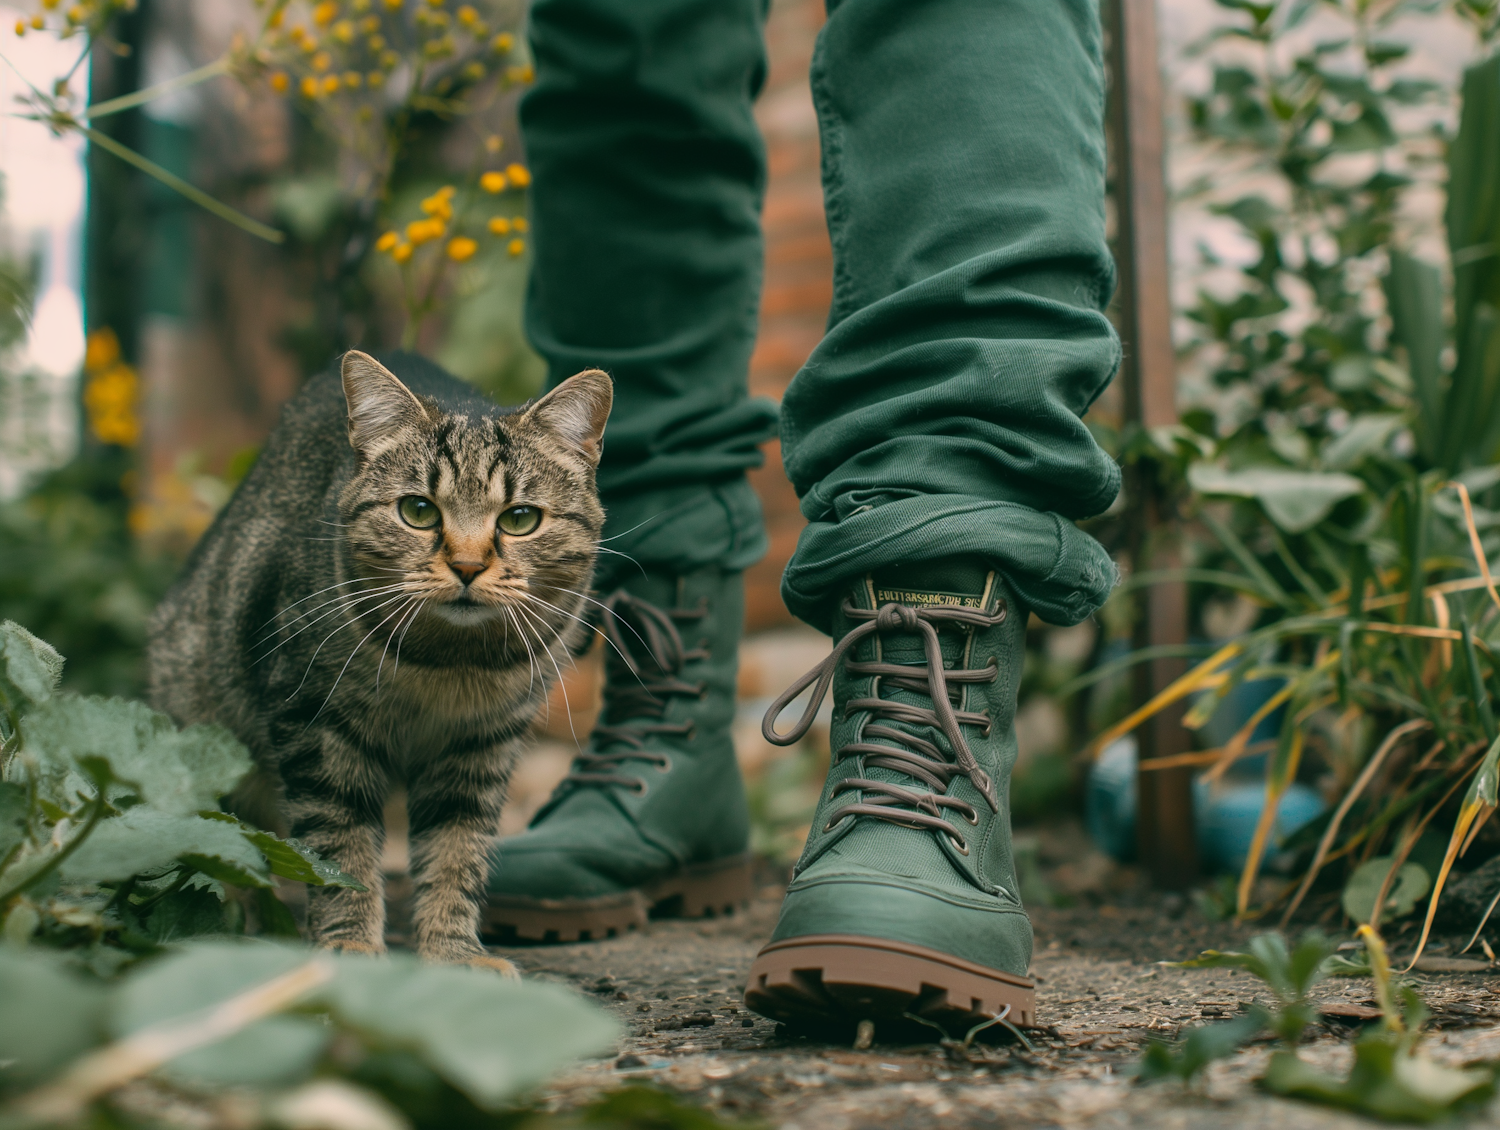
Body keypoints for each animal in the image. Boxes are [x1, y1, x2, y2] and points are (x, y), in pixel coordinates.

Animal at [150, 351, 609, 972]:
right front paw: (349, 945)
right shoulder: (316, 726)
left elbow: (457, 852)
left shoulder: (480, 746)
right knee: (214, 840)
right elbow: (338, 848)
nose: (467, 566)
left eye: (519, 519)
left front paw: (453, 950)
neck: (447, 667)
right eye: (418, 511)